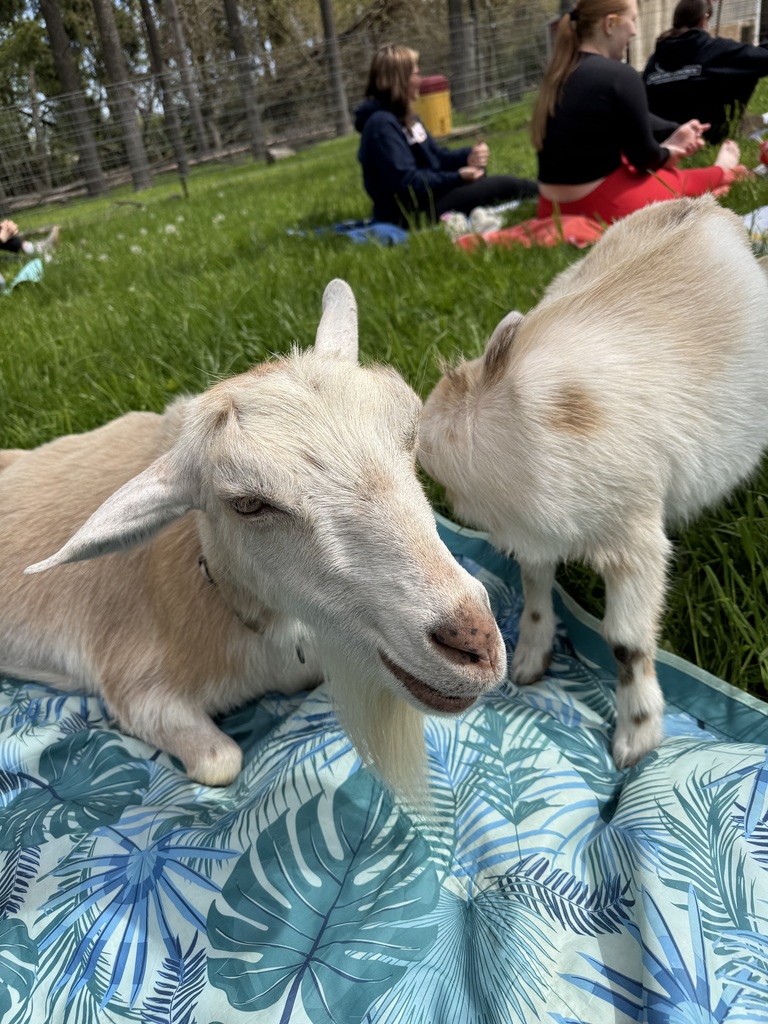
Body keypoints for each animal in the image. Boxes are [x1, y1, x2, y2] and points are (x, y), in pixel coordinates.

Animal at [419, 196, 768, 769]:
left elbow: (625, 641)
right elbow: (535, 590)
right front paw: (529, 664)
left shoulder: (633, 545)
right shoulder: (533, 540)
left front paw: (635, 741)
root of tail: (712, 209)